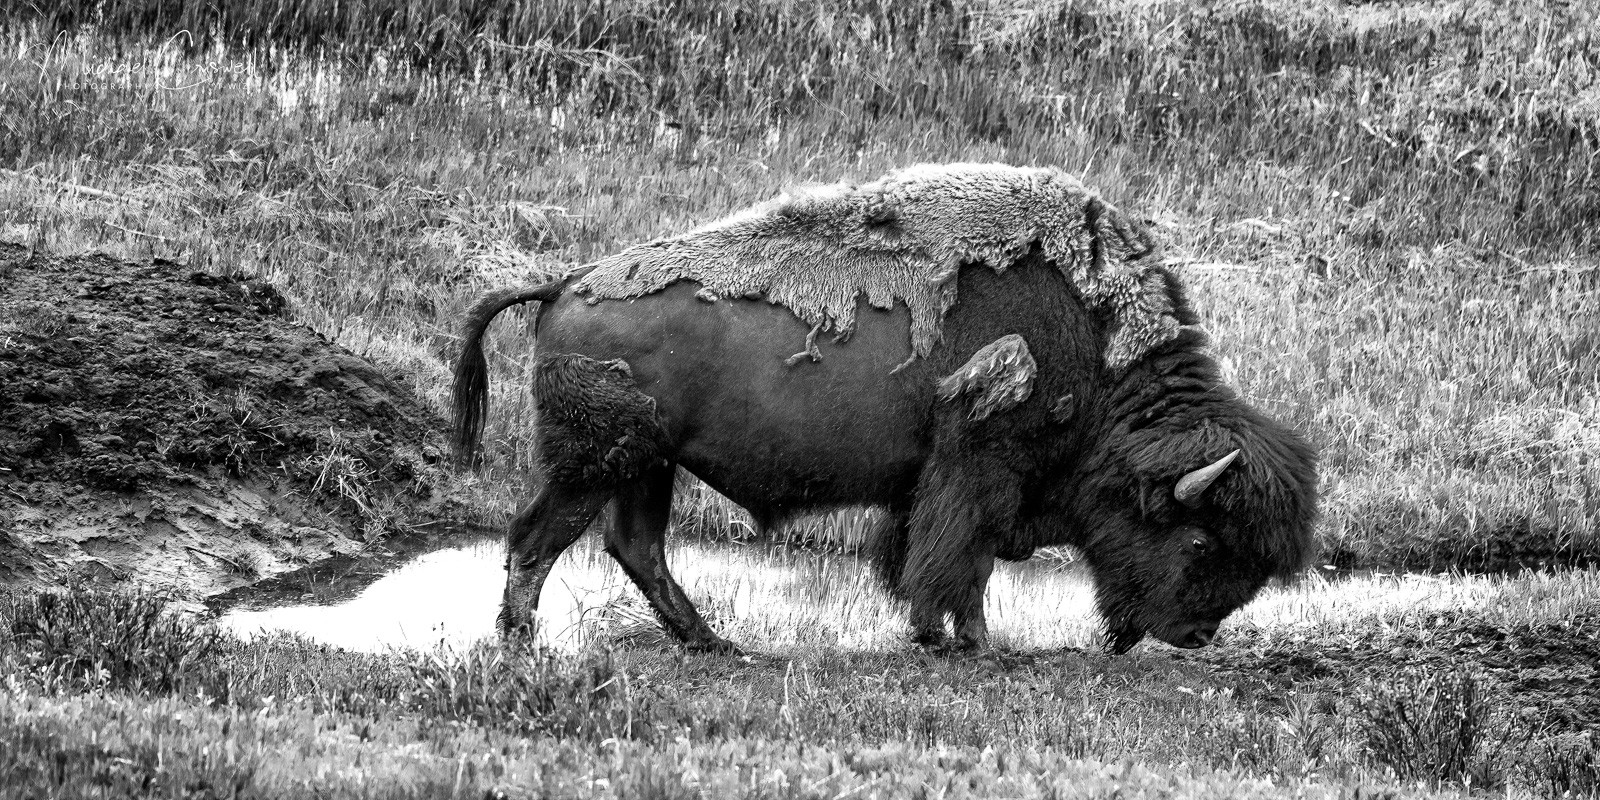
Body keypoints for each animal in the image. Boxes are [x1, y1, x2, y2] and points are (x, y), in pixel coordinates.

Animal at [453, 163, 1318, 654]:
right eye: (1200, 540)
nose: (1197, 636)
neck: (1093, 337)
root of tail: (566, 282)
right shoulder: (979, 467)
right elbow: (961, 561)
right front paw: (973, 644)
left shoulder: (927, 484)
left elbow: (920, 557)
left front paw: (935, 633)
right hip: (596, 464)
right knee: (536, 540)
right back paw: (523, 643)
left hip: (645, 466)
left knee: (634, 547)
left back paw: (714, 644)